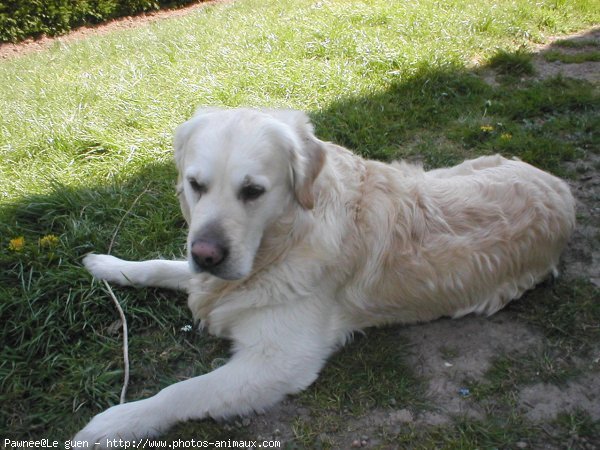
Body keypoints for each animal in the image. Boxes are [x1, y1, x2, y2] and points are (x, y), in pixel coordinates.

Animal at [76, 108, 576, 442]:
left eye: (253, 191)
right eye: (196, 185)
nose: (207, 254)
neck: (281, 242)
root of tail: (560, 187)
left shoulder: (279, 361)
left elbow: (183, 391)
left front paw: (115, 422)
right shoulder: (209, 275)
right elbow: (164, 266)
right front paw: (109, 265)